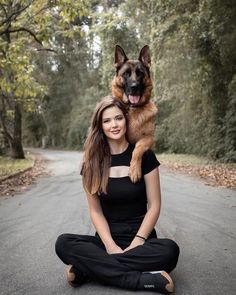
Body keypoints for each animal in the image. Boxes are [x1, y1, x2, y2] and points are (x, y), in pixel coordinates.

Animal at [111, 44, 158, 183]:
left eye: (140, 73)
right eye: (126, 74)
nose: (134, 87)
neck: (132, 109)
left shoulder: (149, 138)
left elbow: (137, 148)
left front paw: (134, 171)